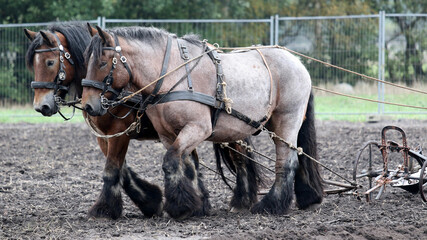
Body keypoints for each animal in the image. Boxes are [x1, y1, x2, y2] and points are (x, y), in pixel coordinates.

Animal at [25, 23, 264, 220]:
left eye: (50, 62)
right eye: (33, 66)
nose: (41, 106)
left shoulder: (120, 132)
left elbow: (112, 169)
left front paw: (106, 209)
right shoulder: (104, 136)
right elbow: (122, 170)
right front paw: (152, 200)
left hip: (230, 129)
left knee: (240, 159)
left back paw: (241, 201)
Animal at [82, 26, 324, 219]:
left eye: (102, 63)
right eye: (86, 60)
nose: (88, 106)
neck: (172, 74)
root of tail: (297, 62)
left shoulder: (197, 128)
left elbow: (171, 162)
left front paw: (180, 207)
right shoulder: (169, 134)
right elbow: (188, 166)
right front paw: (195, 204)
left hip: (287, 120)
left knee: (287, 161)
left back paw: (271, 204)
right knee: (292, 155)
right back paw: (303, 197)